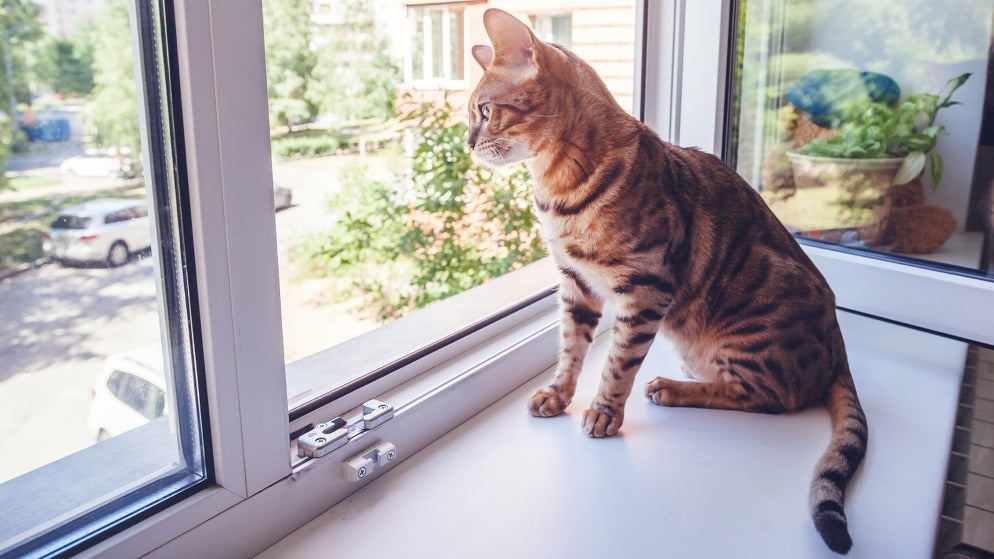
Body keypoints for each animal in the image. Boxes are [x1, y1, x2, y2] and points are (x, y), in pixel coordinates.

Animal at [468, 7, 864, 556]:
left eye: (485, 110)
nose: (468, 142)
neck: (557, 189)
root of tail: (837, 340)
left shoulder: (646, 287)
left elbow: (617, 363)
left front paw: (604, 412)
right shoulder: (574, 285)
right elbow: (570, 348)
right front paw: (559, 393)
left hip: (753, 314)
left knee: (772, 398)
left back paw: (673, 389)